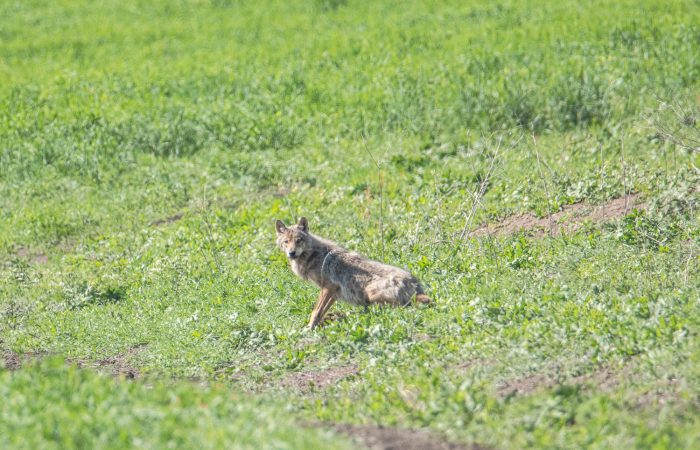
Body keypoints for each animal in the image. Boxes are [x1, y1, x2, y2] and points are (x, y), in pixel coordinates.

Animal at [275, 217, 431, 329]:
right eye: (286, 242)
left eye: (298, 240)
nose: (291, 253)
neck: (314, 255)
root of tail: (415, 284)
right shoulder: (334, 292)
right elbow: (322, 311)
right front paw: (319, 323)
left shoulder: (328, 287)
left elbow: (316, 311)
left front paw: (309, 328)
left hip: (371, 294)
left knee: (391, 308)